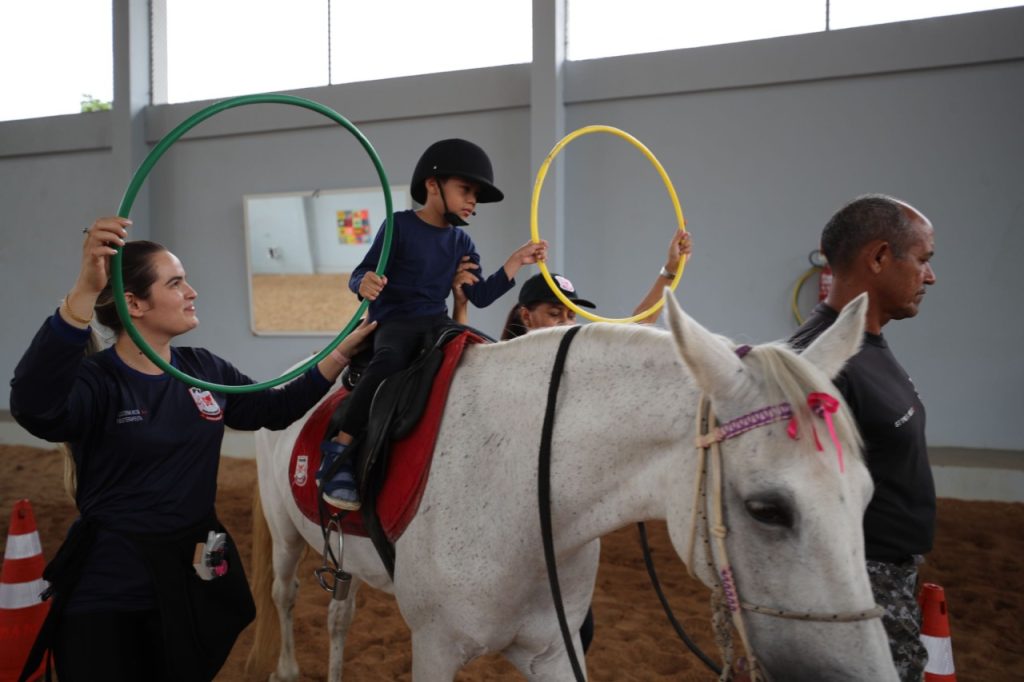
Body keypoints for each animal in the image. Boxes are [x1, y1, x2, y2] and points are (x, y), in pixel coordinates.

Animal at [247, 292, 897, 679]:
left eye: (868, 499)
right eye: (767, 509)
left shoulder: (553, 649)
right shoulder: (433, 647)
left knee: (339, 615)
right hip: (284, 534)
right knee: (284, 595)